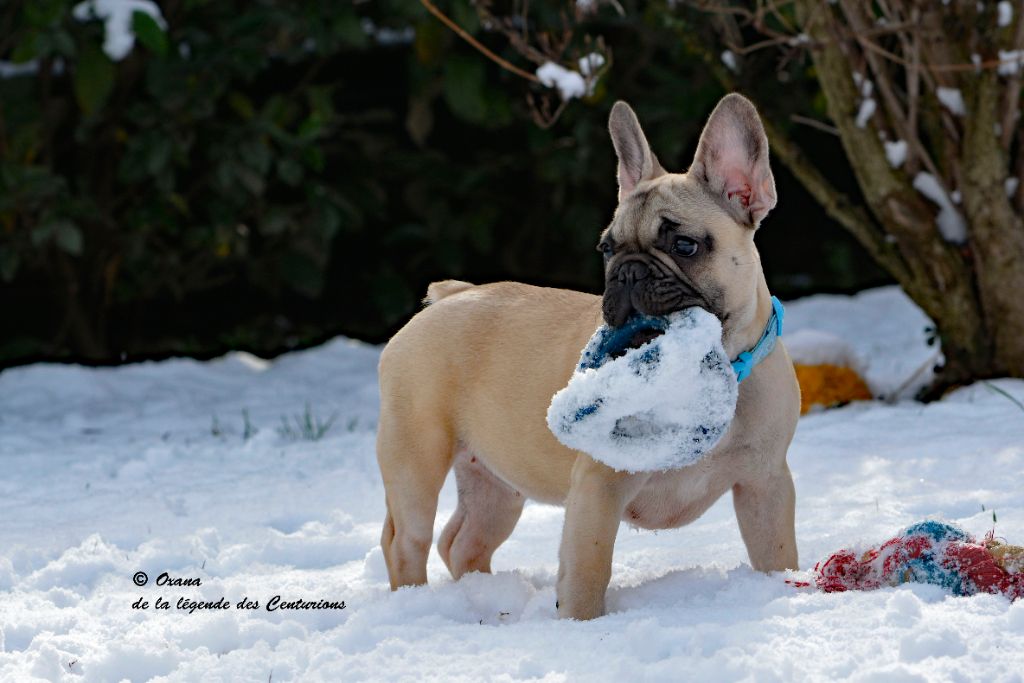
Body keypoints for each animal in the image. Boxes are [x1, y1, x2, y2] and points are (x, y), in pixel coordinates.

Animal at [376, 92, 798, 618]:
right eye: (607, 249)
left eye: (685, 245)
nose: (628, 272)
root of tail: (452, 295)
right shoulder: (599, 489)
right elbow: (587, 571)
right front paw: (581, 625)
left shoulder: (766, 485)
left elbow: (777, 555)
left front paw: (784, 590)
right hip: (415, 459)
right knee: (405, 540)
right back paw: (413, 606)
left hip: (495, 480)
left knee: (463, 541)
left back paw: (489, 603)